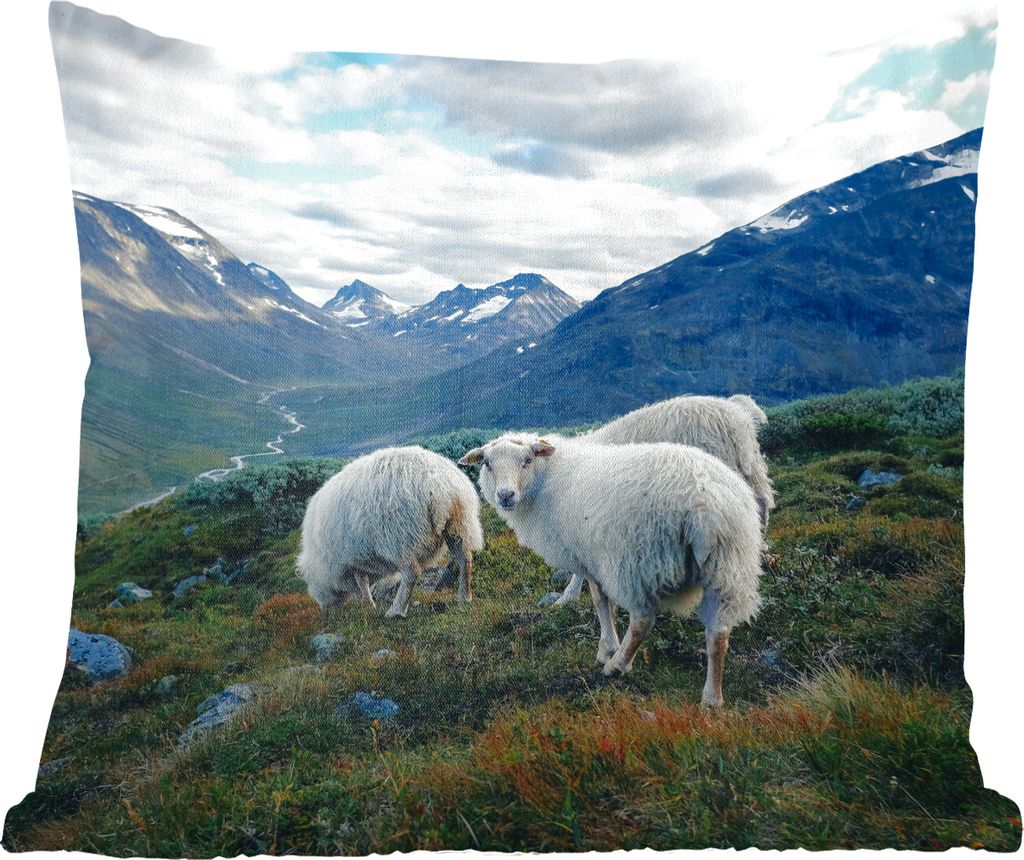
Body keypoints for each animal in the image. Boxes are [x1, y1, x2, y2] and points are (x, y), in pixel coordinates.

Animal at [297, 446, 484, 618]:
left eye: (310, 582)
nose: (325, 611)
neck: (320, 557)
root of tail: (440, 484)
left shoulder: (350, 560)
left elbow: (361, 583)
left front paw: (368, 604)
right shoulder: (358, 559)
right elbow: (363, 582)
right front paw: (368, 603)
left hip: (400, 537)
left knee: (411, 573)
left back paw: (396, 611)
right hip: (459, 524)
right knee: (465, 558)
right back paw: (465, 597)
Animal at [459, 433, 763, 706]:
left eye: (527, 459)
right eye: (487, 463)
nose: (505, 495)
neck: (546, 480)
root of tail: (703, 504)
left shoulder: (590, 557)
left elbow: (601, 602)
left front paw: (607, 648)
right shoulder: (600, 558)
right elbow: (609, 604)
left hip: (640, 560)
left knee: (643, 620)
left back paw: (618, 665)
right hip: (727, 567)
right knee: (718, 633)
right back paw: (712, 698)